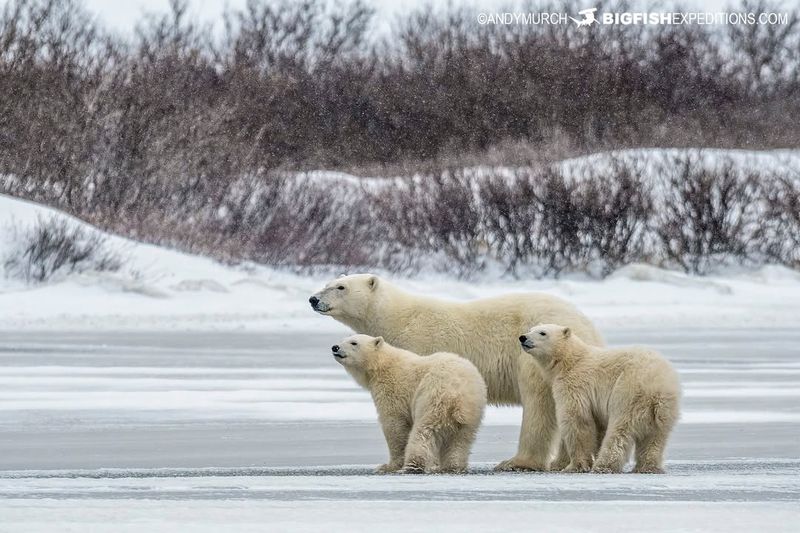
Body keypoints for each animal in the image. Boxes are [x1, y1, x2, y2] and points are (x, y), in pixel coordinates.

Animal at [332, 334, 488, 472]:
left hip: (433, 398)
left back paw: (412, 466)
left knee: (424, 432)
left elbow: (394, 426)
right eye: (343, 339)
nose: (335, 347)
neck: (381, 365)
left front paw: (388, 466)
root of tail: (459, 395)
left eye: (354, 342)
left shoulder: (392, 390)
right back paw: (452, 466)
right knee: (461, 440)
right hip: (473, 411)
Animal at [520, 322, 680, 472]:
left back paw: (603, 465)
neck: (569, 361)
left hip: (628, 392)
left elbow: (577, 420)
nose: (523, 337)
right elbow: (599, 426)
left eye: (543, 333)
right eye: (530, 329)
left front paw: (575, 466)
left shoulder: (574, 385)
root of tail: (657, 386)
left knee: (620, 430)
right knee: (656, 437)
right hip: (666, 407)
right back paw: (647, 467)